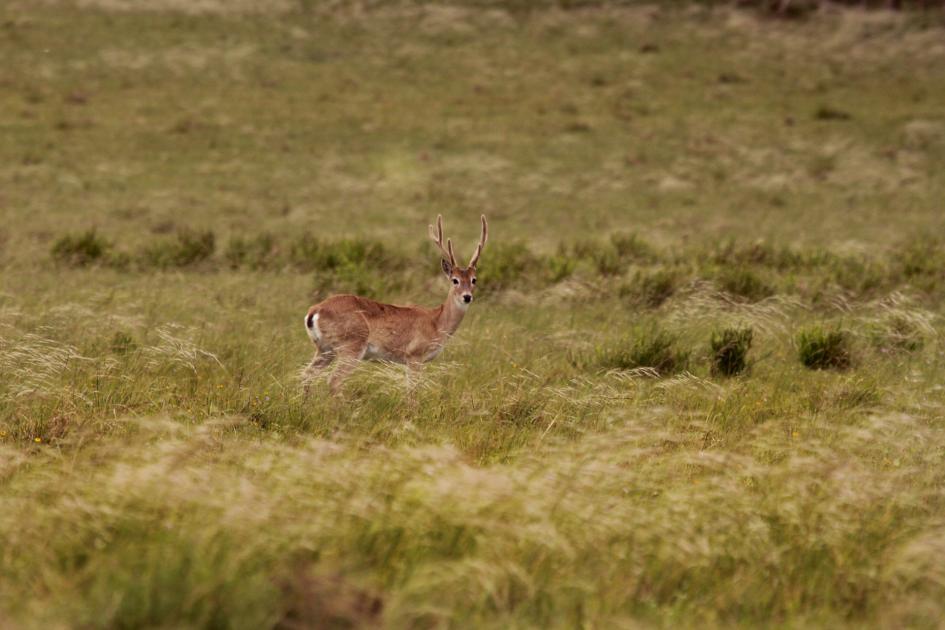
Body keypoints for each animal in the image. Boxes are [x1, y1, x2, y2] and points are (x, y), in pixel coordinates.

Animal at [304, 215, 486, 398]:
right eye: (454, 280)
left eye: (474, 280)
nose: (467, 296)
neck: (437, 322)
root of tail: (314, 311)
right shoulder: (414, 355)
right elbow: (413, 393)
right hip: (350, 346)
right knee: (333, 379)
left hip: (324, 348)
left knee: (308, 373)